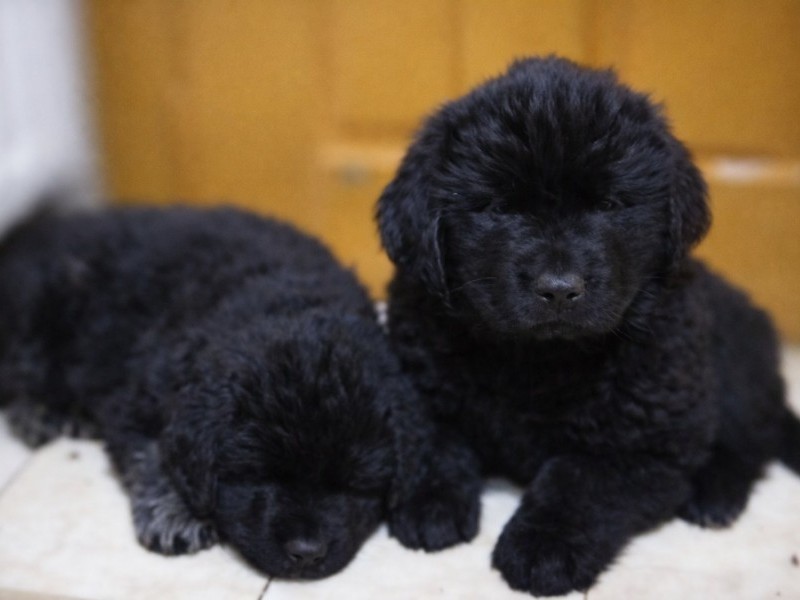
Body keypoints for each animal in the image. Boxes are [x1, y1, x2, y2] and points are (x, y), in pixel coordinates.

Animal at [0, 205, 438, 580]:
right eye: (259, 473)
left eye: (355, 482)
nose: (306, 552)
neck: (286, 302)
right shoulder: (136, 399)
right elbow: (154, 455)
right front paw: (176, 516)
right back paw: (43, 414)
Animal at [376, 56, 800, 595]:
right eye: (498, 207)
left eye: (609, 205)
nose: (559, 289)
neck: (536, 358)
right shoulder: (422, 382)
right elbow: (434, 440)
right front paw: (430, 504)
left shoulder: (639, 439)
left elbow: (577, 481)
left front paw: (543, 547)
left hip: (735, 372)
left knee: (750, 441)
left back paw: (713, 495)